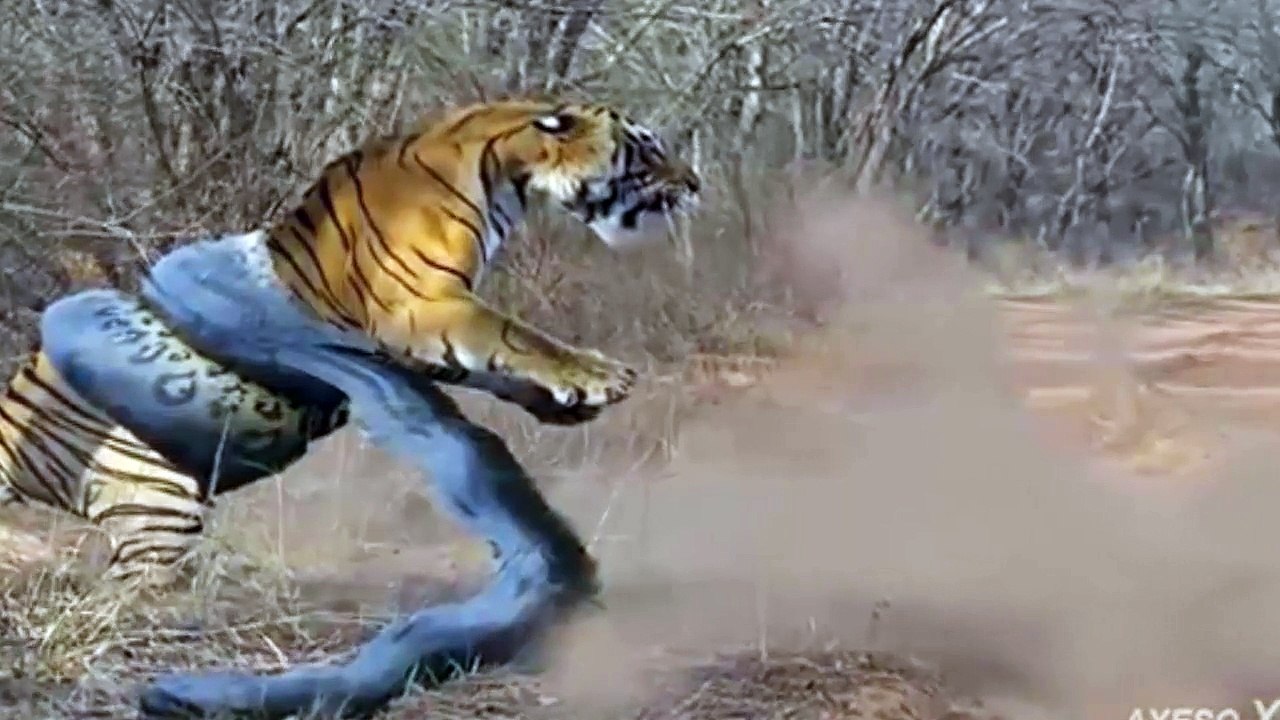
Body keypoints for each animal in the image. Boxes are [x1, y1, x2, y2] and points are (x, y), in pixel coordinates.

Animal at [0, 97, 703, 585]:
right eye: (644, 149)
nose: (696, 184)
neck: (501, 172)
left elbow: (495, 364)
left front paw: (566, 407)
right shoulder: (424, 308)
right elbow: (514, 335)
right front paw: (597, 376)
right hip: (155, 500)